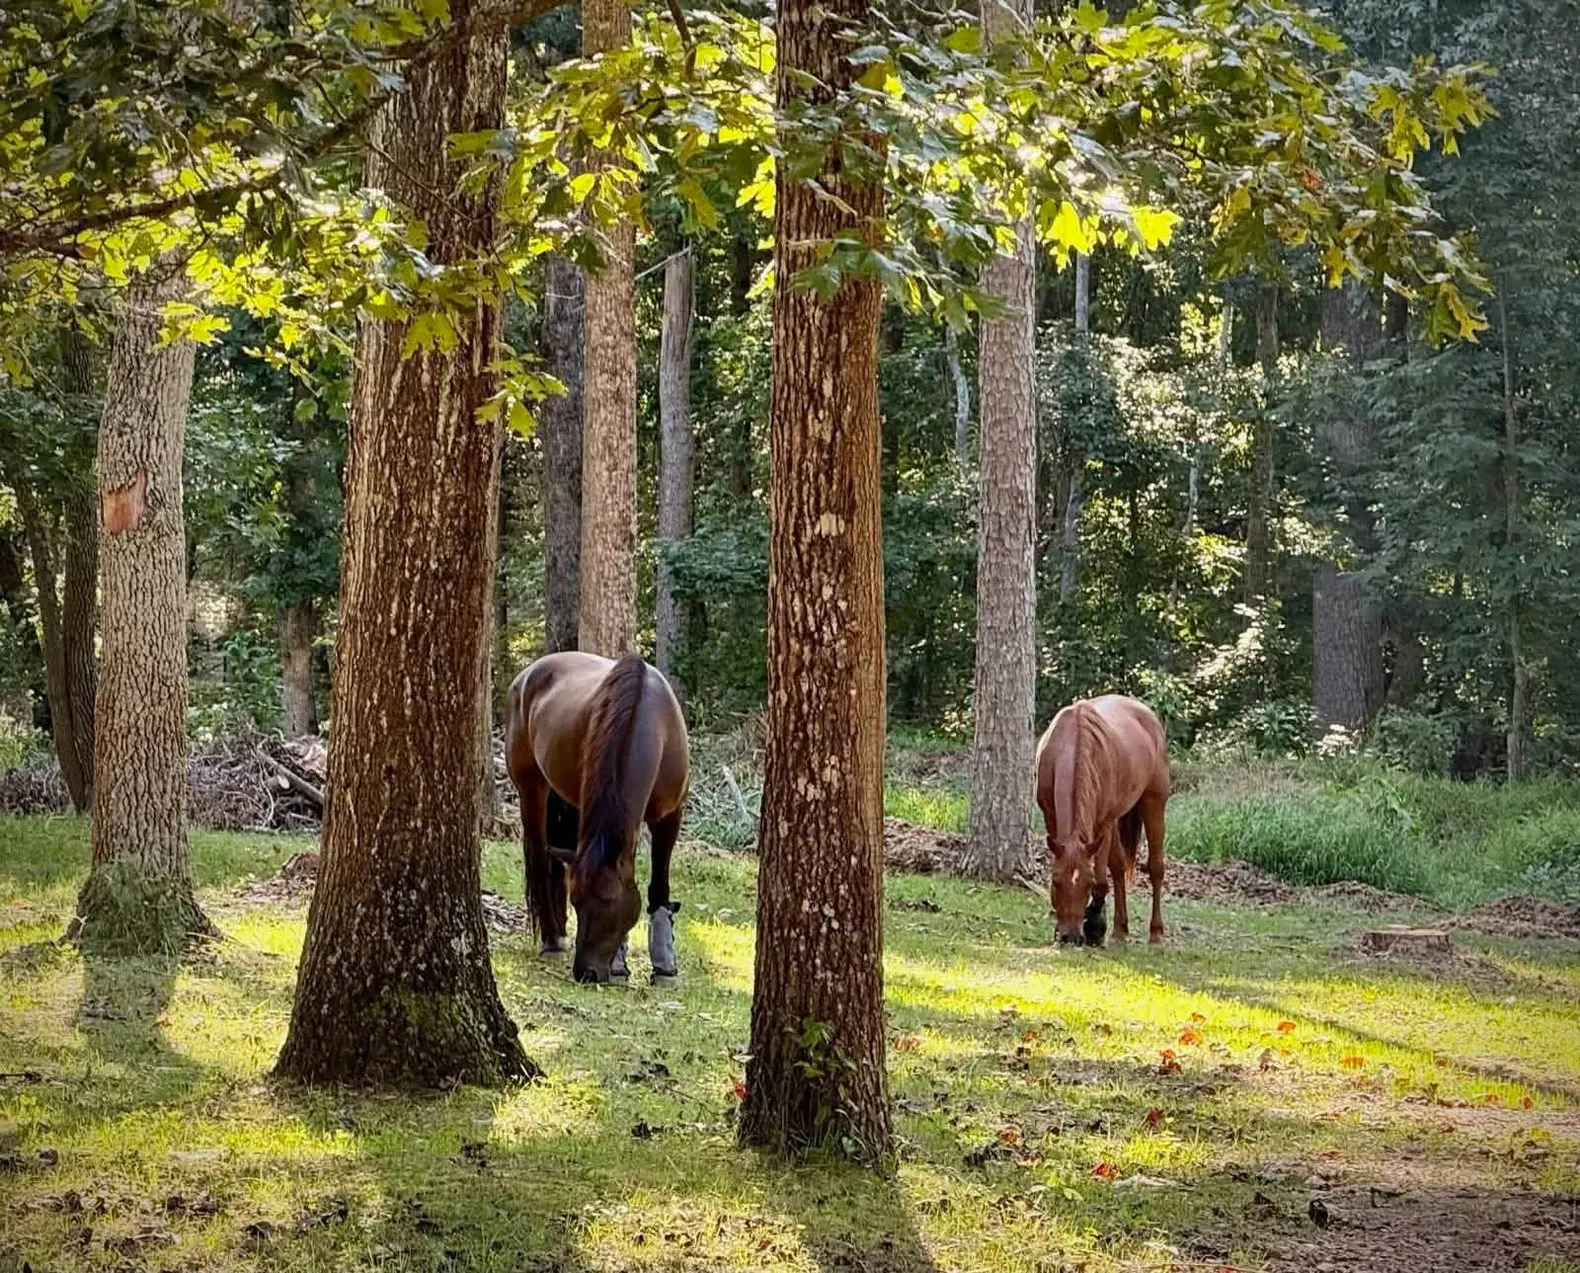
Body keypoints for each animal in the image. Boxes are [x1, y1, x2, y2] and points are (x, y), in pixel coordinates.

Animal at [505, 652, 690, 984]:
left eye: (608, 901)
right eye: (577, 902)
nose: (586, 973)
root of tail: (527, 674)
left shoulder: (670, 815)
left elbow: (659, 883)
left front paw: (664, 966)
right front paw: (618, 964)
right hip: (532, 789)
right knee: (539, 858)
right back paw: (552, 939)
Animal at [1034, 694, 1169, 947]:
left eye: (1086, 885)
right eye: (1055, 881)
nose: (1071, 936)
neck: (1072, 743)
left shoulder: (1104, 823)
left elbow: (1100, 879)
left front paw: (1095, 925)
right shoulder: (1050, 817)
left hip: (1153, 803)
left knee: (1156, 867)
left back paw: (1156, 933)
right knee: (1118, 867)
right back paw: (1120, 929)